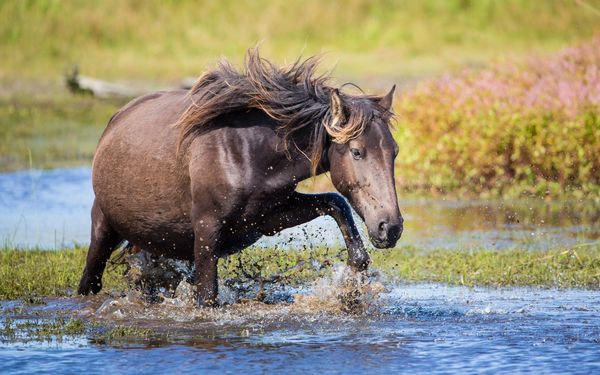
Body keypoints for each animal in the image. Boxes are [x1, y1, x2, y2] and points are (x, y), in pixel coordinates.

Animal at [76, 50, 404, 306]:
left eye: (395, 152)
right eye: (357, 152)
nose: (390, 228)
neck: (248, 151)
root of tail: (116, 120)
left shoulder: (268, 218)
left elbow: (336, 203)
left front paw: (353, 278)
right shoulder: (207, 229)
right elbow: (207, 296)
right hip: (103, 230)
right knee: (89, 281)